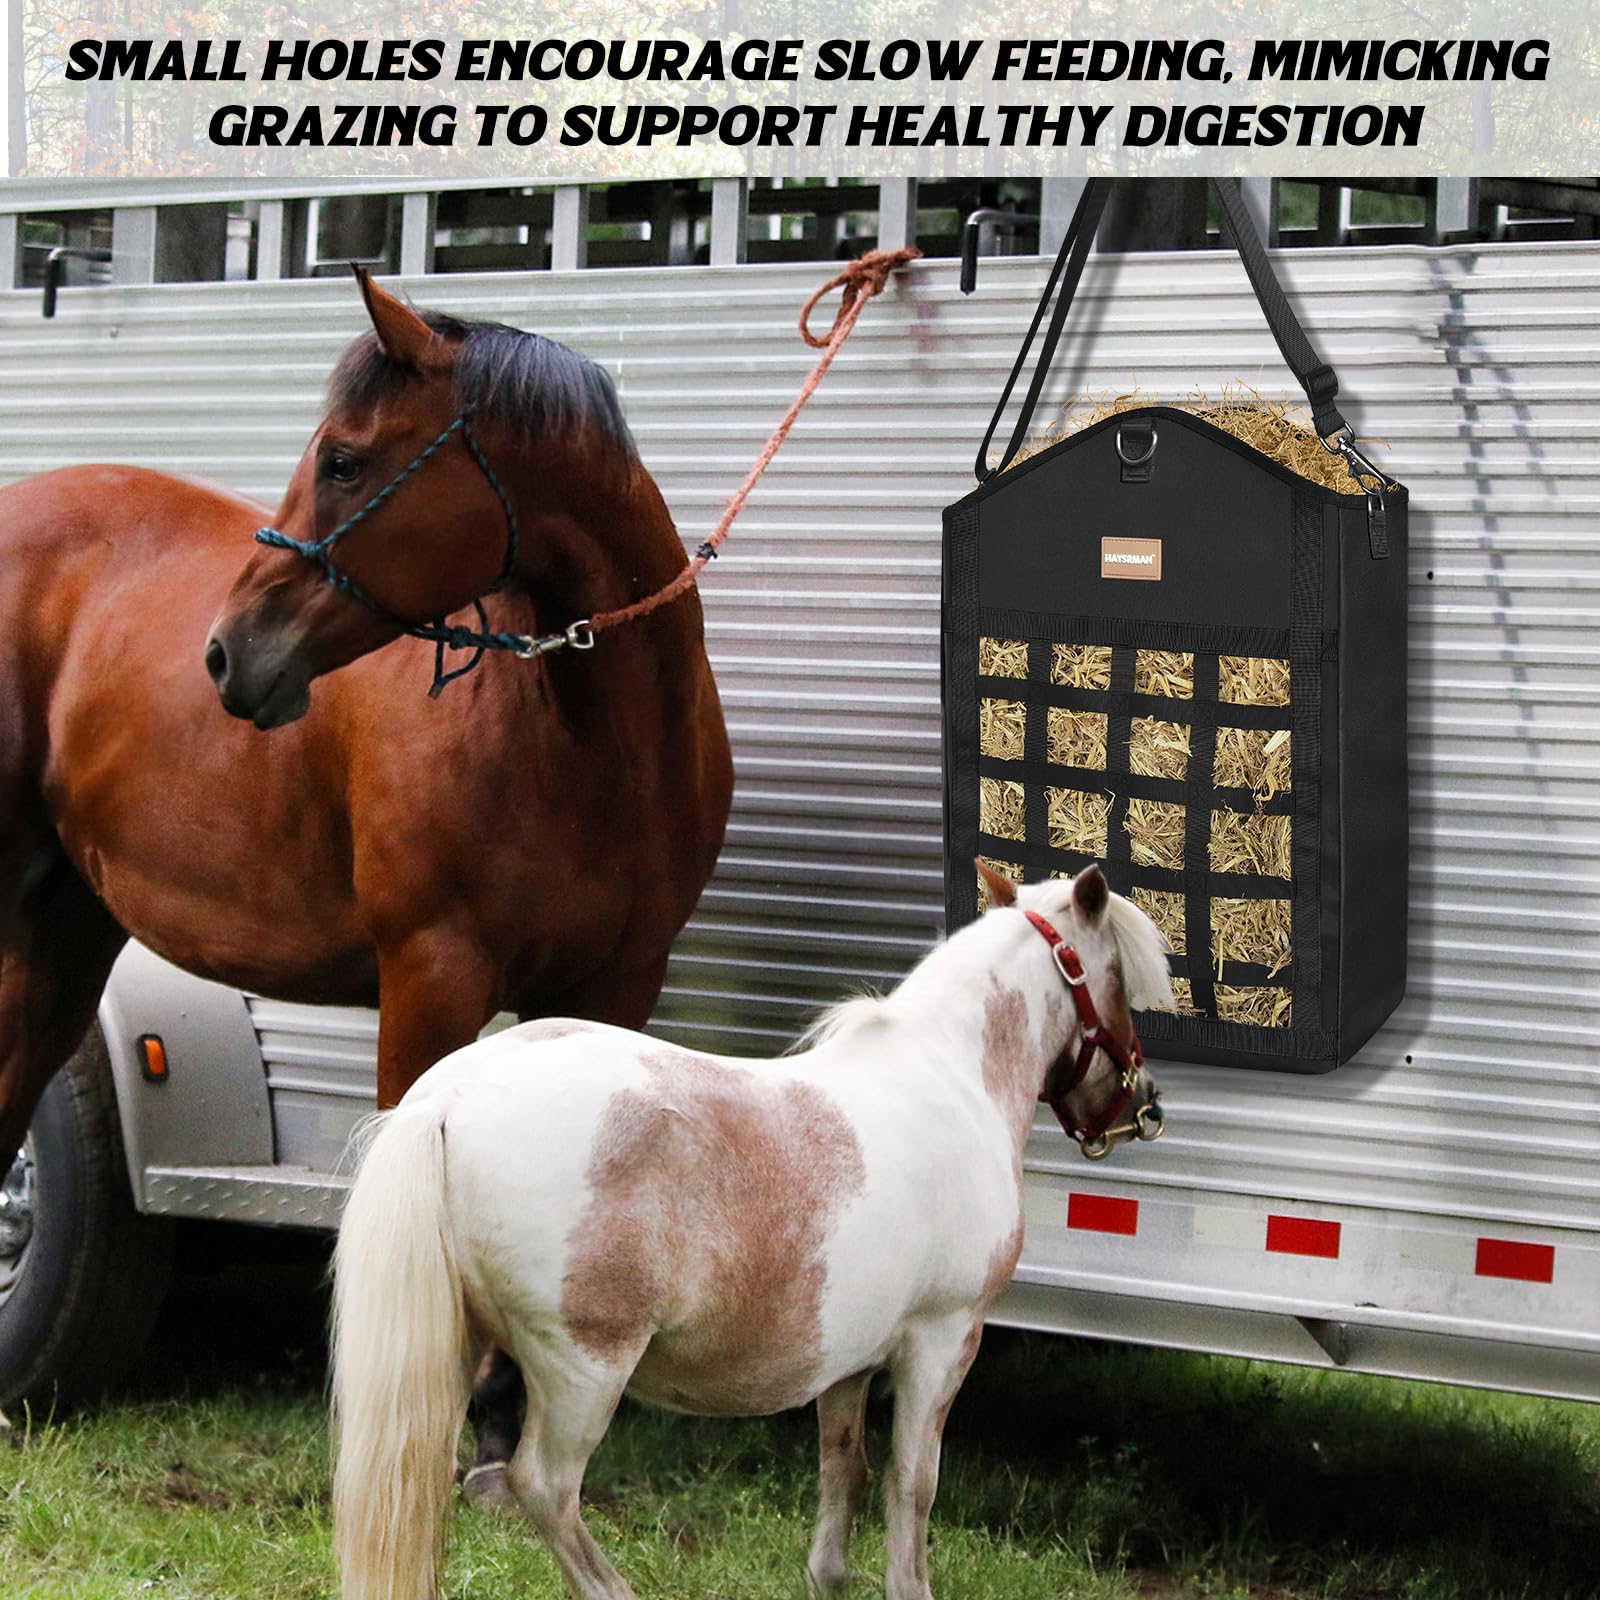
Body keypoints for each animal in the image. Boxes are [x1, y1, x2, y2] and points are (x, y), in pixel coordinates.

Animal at [0, 272, 732, 1455]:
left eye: (344, 459)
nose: (227, 653)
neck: (579, 743)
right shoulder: (431, 976)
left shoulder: (614, 988)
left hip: (64, 931)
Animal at [329, 861, 1173, 1600]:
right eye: (1117, 983)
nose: (1140, 1106)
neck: (951, 1077)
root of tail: (451, 1096)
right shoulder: (944, 1337)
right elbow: (913, 1481)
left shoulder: (849, 1359)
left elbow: (844, 1465)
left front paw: (830, 1577)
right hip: (584, 1367)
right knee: (545, 1487)